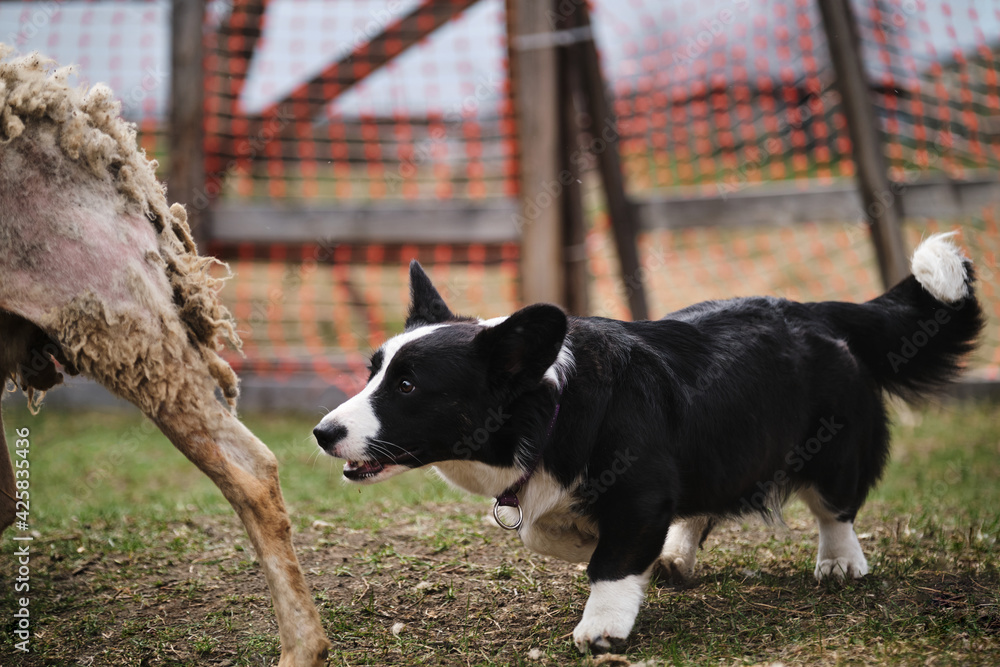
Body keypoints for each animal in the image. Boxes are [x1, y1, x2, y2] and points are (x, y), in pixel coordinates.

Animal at [314, 234, 984, 652]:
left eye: (406, 385)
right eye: (373, 371)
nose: (322, 434)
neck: (550, 409)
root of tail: (815, 309)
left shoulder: (639, 493)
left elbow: (610, 565)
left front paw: (602, 627)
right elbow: (550, 534)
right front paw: (591, 543)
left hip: (832, 449)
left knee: (835, 509)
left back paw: (840, 562)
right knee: (705, 505)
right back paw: (676, 554)